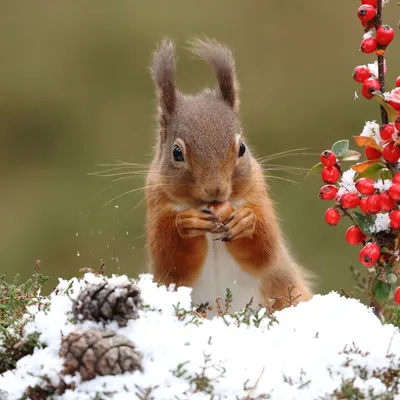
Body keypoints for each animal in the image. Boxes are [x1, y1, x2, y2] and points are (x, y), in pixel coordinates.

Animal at [145, 38, 314, 312]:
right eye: (176, 153)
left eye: (242, 148)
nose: (215, 189)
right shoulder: (157, 206)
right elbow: (171, 259)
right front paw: (187, 223)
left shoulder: (257, 193)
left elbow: (265, 249)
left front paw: (245, 221)